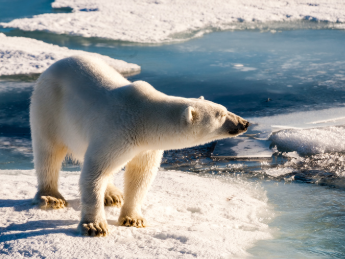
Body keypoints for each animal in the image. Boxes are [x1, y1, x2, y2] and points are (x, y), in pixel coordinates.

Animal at [29, 55, 247, 238]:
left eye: (225, 109)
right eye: (221, 114)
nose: (244, 123)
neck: (144, 119)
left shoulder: (146, 146)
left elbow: (140, 175)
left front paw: (133, 219)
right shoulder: (116, 132)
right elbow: (95, 173)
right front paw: (94, 226)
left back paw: (112, 194)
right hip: (49, 107)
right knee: (48, 151)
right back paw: (51, 197)